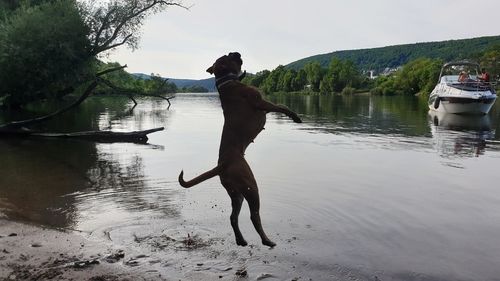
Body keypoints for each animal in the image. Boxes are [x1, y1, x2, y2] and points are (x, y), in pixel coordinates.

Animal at [180, 52, 300, 245]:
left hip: (237, 195)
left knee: (233, 217)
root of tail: (221, 165)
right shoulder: (262, 103)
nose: (236, 52)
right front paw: (295, 117)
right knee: (254, 216)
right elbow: (282, 107)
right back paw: (267, 240)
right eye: (227, 55)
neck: (227, 83)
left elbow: (281, 106)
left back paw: (241, 240)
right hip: (251, 188)